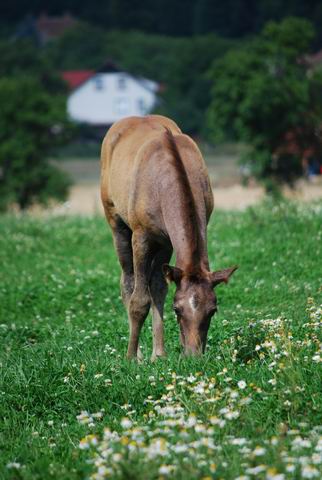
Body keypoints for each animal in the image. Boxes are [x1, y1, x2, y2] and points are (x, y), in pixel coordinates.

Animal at [100, 114, 236, 358]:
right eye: (177, 309)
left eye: (212, 310)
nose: (193, 355)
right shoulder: (141, 237)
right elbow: (139, 299)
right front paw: (131, 358)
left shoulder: (166, 241)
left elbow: (158, 288)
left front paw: (158, 355)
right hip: (117, 223)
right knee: (127, 281)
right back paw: (138, 353)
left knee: (155, 283)